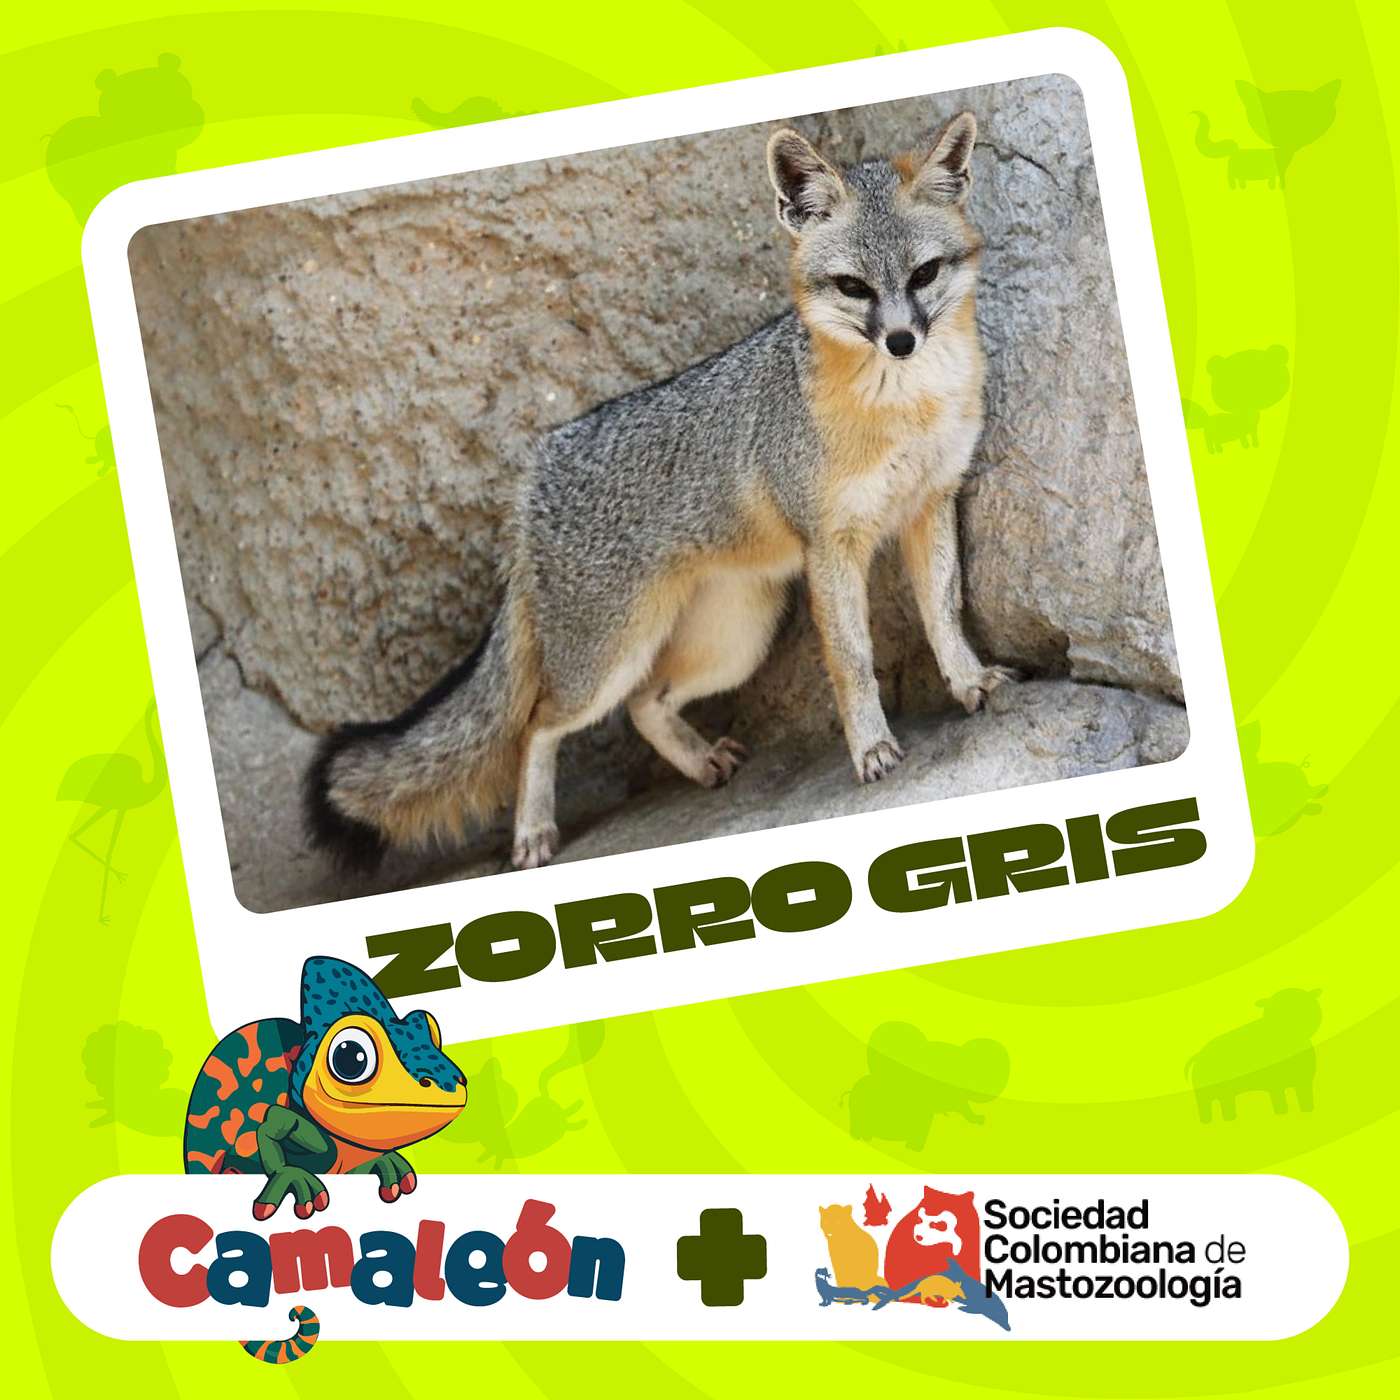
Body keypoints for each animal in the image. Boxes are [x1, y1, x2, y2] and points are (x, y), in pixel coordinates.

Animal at [305, 111, 1015, 873]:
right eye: (854, 287)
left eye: (923, 274)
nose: (901, 340)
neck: (903, 408)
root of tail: (535, 478)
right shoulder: (833, 546)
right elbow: (853, 663)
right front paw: (872, 749)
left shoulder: (931, 503)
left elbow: (944, 612)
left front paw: (968, 681)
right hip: (608, 660)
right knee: (538, 725)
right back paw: (533, 831)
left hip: (735, 638)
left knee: (645, 703)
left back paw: (697, 760)